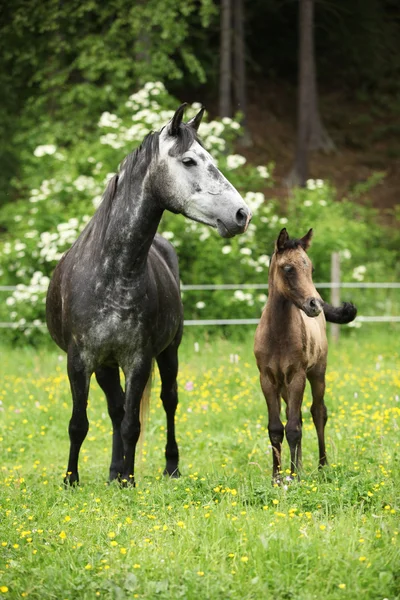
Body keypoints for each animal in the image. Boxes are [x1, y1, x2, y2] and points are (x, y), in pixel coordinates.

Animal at [255, 227, 330, 480]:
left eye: (311, 269)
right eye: (288, 268)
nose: (315, 305)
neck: (278, 335)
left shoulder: (297, 376)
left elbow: (294, 428)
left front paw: (294, 477)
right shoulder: (267, 379)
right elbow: (276, 428)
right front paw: (277, 477)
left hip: (317, 375)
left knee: (318, 413)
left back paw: (322, 466)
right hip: (284, 387)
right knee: (293, 415)